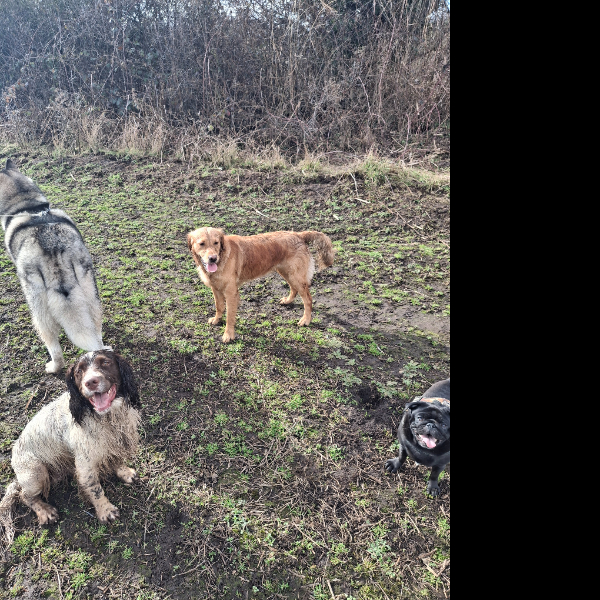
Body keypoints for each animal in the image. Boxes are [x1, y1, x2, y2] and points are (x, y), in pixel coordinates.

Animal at [0, 159, 104, 373]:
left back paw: (53, 367)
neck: (28, 205)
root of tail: (55, 253)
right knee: (96, 332)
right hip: (91, 293)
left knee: (54, 348)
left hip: (39, 310)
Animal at [0, 350, 140, 552]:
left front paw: (126, 473)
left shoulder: (115, 444)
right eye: (79, 372)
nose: (91, 382)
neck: (105, 418)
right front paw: (105, 511)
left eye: (105, 362)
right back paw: (45, 511)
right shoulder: (85, 465)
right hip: (35, 472)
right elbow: (95, 489)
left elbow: (117, 461)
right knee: (24, 496)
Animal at [187, 227, 335, 342]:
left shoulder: (231, 293)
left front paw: (228, 335)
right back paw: (287, 301)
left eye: (216, 243)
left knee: (308, 299)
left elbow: (229, 316)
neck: (222, 257)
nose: (213, 258)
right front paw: (217, 320)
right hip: (286, 272)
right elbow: (219, 307)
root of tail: (298, 235)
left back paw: (306, 320)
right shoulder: (216, 288)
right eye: (202, 244)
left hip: (295, 276)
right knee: (294, 289)